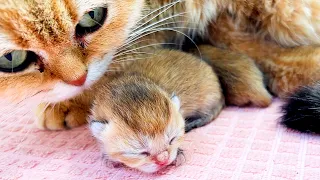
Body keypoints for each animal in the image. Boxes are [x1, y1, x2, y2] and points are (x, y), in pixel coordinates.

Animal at [89, 48, 225, 173]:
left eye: (172, 139)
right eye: (141, 152)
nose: (163, 159)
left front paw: (178, 154)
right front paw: (108, 157)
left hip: (209, 98)